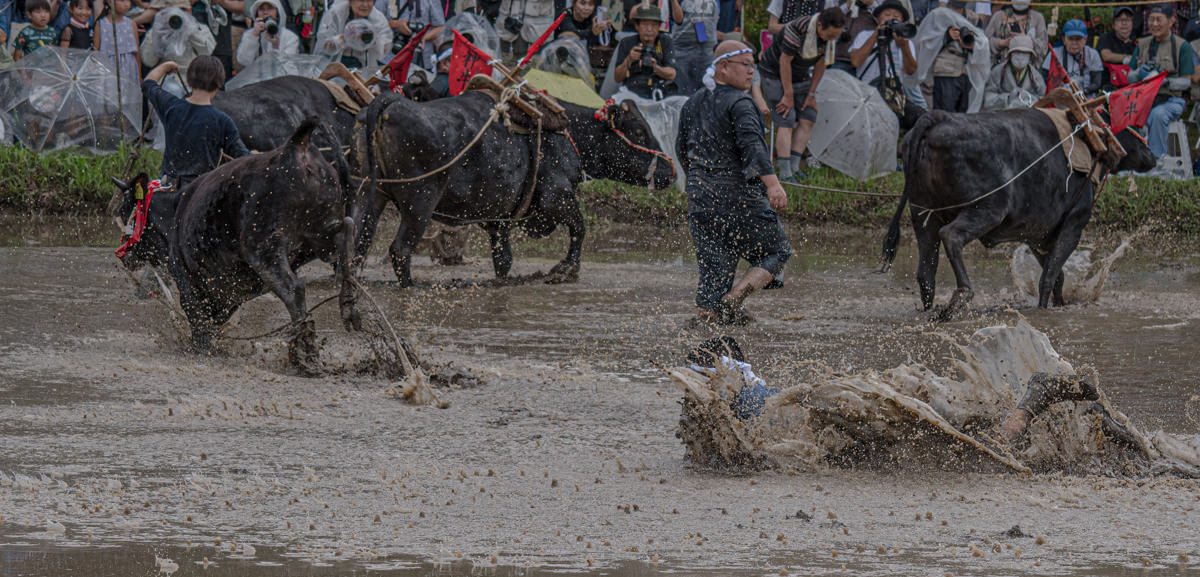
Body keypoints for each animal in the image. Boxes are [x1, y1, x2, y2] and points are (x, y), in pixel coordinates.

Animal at [113, 119, 363, 375]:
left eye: (124, 209)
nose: (122, 254)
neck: (174, 213)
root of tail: (295, 146)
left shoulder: (186, 279)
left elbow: (198, 319)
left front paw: (200, 348)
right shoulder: (227, 292)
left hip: (264, 249)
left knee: (294, 289)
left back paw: (304, 356)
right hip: (320, 237)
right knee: (347, 232)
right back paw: (348, 306)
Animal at [353, 90, 585, 287]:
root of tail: (391, 101)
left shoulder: (498, 218)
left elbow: (503, 260)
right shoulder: (556, 198)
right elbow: (579, 227)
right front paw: (568, 269)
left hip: (370, 193)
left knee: (359, 238)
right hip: (419, 204)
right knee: (400, 249)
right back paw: (410, 285)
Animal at [881, 108, 1156, 315]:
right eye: (1133, 127)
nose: (1151, 156)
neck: (1089, 140)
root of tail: (937, 118)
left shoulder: (1037, 236)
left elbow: (1057, 276)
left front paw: (1060, 303)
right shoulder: (1073, 226)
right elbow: (1049, 277)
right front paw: (1044, 308)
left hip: (922, 215)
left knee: (926, 271)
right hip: (986, 210)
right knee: (951, 236)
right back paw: (963, 295)